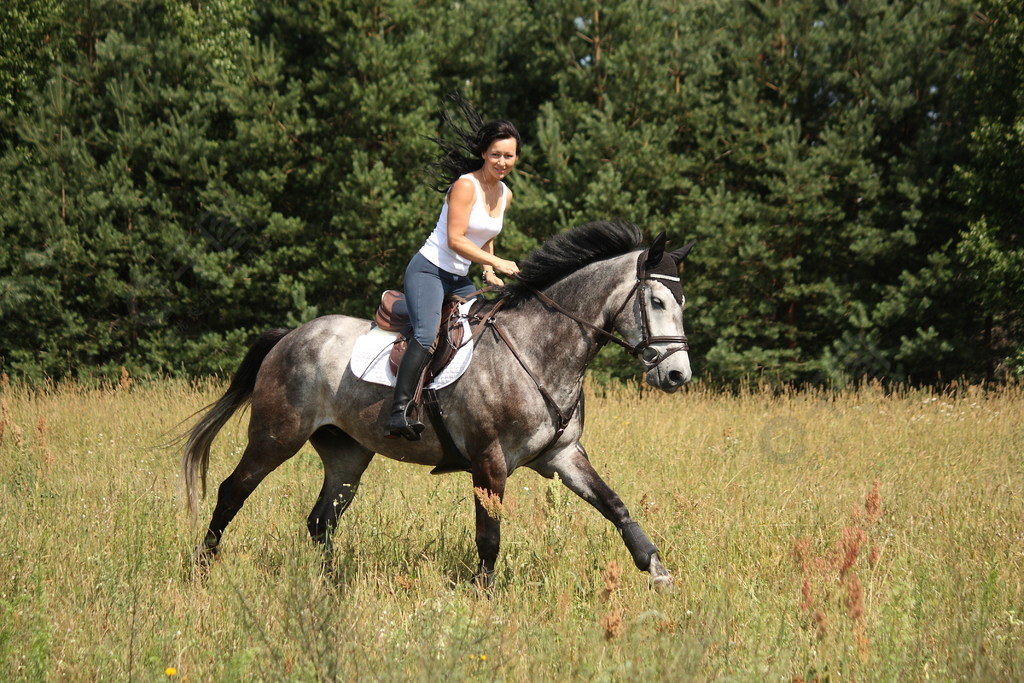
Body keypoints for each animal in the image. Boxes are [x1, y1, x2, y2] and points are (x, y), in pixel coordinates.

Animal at [182, 219, 696, 589]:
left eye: (682, 301)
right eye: (656, 300)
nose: (677, 376)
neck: (539, 350)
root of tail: (290, 335)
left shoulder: (562, 455)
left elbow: (615, 506)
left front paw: (658, 572)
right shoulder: (489, 462)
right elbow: (489, 537)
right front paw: (485, 599)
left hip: (347, 454)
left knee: (321, 521)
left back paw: (328, 588)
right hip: (276, 437)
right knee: (232, 491)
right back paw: (202, 571)